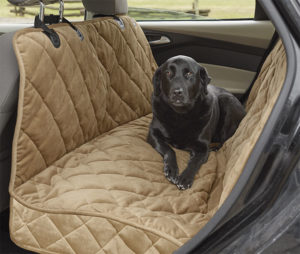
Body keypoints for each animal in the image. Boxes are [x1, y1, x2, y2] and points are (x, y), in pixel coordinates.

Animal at [146, 56, 245, 190]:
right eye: (168, 73)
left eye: (189, 74)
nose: (177, 92)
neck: (181, 114)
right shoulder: (153, 134)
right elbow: (168, 150)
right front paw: (171, 170)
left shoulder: (202, 147)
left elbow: (195, 162)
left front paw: (185, 178)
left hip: (227, 101)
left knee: (225, 140)